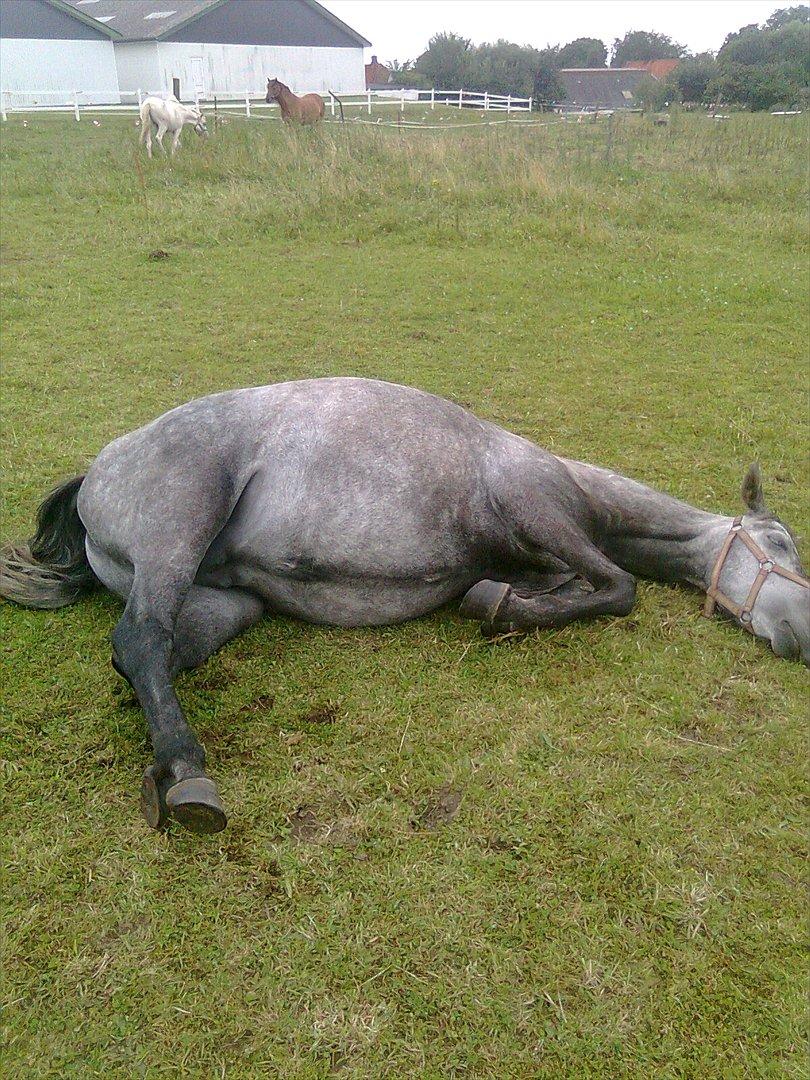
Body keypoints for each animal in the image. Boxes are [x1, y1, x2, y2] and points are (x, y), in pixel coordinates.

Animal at [3, 380, 807, 833]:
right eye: (783, 543)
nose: (802, 634)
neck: (576, 486)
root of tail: (99, 471)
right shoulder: (540, 511)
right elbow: (618, 590)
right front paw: (499, 605)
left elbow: (574, 589)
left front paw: (508, 598)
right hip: (182, 517)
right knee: (140, 638)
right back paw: (188, 771)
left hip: (227, 602)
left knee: (152, 652)